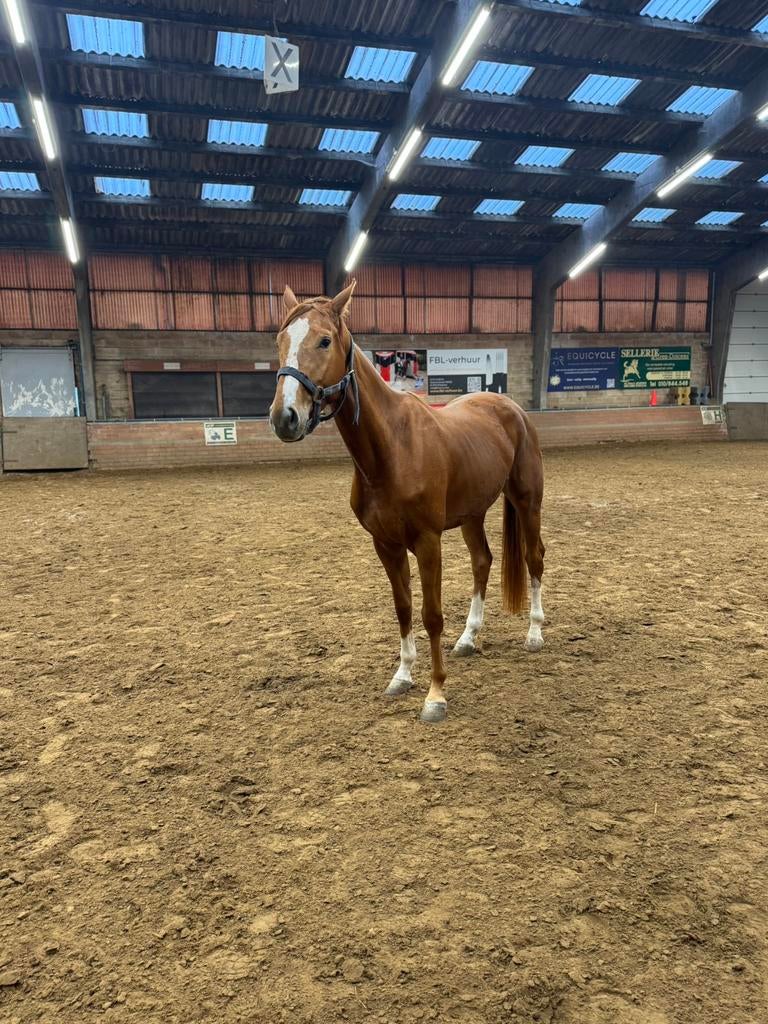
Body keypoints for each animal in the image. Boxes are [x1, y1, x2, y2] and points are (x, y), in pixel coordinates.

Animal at [269, 281, 546, 724]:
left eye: (324, 340)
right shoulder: (386, 545)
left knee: (534, 558)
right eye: (280, 340)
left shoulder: (428, 542)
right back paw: (469, 637)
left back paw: (535, 633)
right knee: (482, 561)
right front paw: (402, 676)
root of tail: (511, 408)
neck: (392, 449)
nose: (285, 417)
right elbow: (403, 609)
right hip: (472, 514)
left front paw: (436, 695)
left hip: (527, 501)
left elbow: (431, 616)